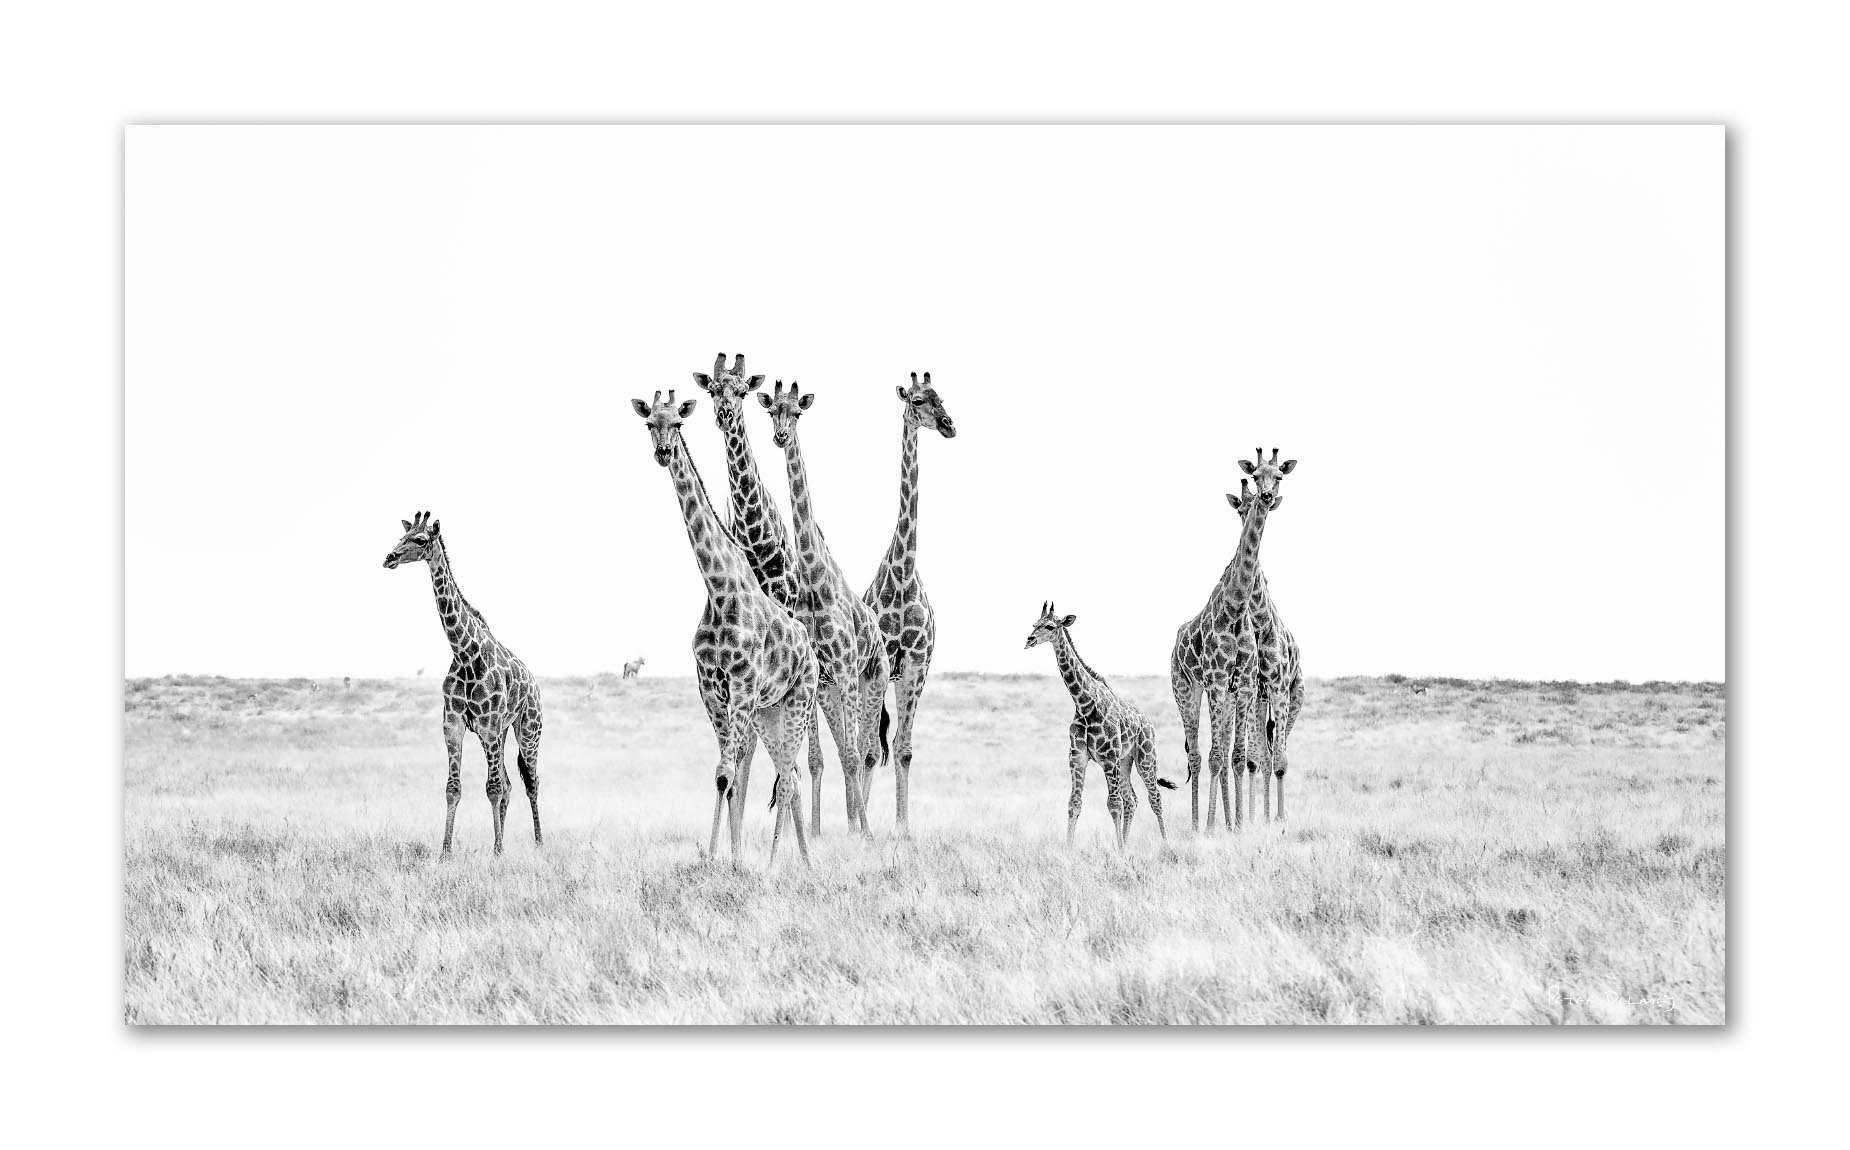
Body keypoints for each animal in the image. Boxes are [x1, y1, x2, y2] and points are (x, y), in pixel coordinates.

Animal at [383, 511, 543, 856]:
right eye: (401, 536)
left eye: (420, 540)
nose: (389, 557)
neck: (465, 652)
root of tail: (535, 684)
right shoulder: (454, 723)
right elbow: (453, 788)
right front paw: (446, 851)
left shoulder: (490, 724)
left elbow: (492, 788)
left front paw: (497, 853)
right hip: (495, 735)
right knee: (509, 783)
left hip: (527, 729)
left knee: (531, 782)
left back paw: (538, 842)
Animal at [632, 389, 820, 867]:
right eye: (650, 424)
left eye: (678, 423)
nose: (663, 453)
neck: (717, 588)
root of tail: (810, 651)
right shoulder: (711, 690)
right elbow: (724, 776)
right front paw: (717, 859)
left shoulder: (741, 687)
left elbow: (727, 773)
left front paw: (727, 862)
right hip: (770, 712)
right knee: (787, 778)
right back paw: (804, 863)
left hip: (797, 701)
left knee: (788, 779)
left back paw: (778, 867)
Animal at [759, 380, 892, 837]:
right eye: (771, 412)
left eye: (797, 412)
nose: (781, 437)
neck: (815, 582)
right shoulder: (820, 680)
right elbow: (818, 758)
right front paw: (817, 833)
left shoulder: (848, 670)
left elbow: (852, 754)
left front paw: (862, 834)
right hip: (834, 692)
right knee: (845, 751)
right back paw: (848, 821)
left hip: (872, 682)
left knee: (865, 750)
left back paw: (860, 824)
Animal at [1025, 602, 1174, 848]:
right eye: (1034, 624)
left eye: (1049, 626)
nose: (1029, 640)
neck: (1084, 704)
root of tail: (1149, 722)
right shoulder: (1077, 757)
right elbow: (1074, 803)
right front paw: (1069, 848)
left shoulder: (1108, 757)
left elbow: (1113, 804)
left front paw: (1119, 851)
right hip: (1125, 761)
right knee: (1132, 799)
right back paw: (1127, 843)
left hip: (1145, 757)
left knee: (1154, 797)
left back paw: (1164, 842)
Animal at [1169, 448, 1296, 833]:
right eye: (1254, 476)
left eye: (1278, 477)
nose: (1266, 498)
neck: (1238, 608)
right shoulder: (1217, 680)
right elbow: (1217, 757)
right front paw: (1214, 828)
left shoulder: (1243, 687)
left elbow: (1238, 757)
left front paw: (1238, 825)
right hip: (1186, 689)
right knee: (1197, 756)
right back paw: (1198, 825)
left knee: (1226, 754)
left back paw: (1228, 819)